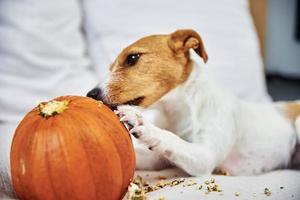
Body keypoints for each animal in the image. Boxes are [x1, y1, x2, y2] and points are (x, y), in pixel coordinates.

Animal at [86, 28, 300, 176]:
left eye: (132, 58)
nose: (90, 94)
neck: (178, 112)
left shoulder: (205, 157)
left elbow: (172, 139)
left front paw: (143, 124)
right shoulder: (158, 159)